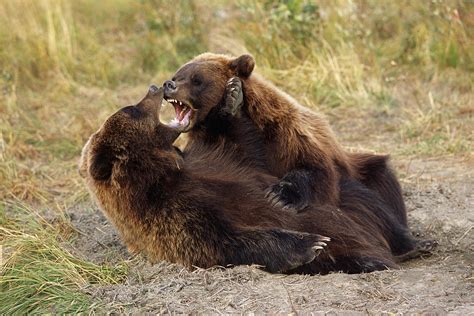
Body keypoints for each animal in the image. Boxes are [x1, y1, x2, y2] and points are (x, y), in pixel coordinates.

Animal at [78, 85, 404, 272]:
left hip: (352, 197)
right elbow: (228, 241)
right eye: (131, 109)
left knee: (366, 191)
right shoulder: (171, 218)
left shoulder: (218, 162)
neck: (160, 175)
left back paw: (405, 239)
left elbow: (242, 146)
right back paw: (369, 258)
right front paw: (310, 244)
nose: (154, 86)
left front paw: (231, 101)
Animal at [164, 52, 436, 260]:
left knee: (383, 182)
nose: (169, 84)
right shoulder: (217, 151)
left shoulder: (286, 134)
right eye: (178, 74)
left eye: (196, 79)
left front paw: (280, 195)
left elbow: (314, 171)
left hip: (363, 170)